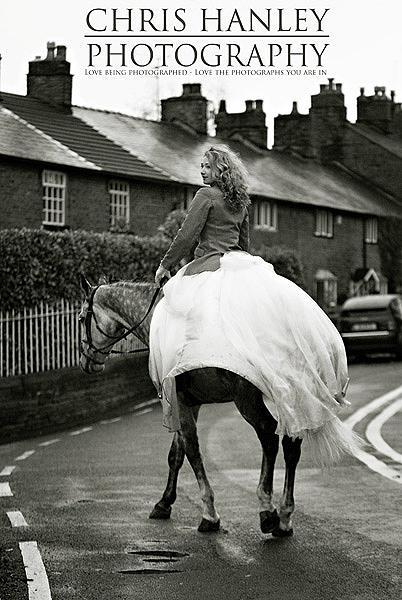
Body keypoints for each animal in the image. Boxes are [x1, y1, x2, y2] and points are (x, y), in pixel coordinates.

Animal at [78, 274, 354, 536]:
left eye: (81, 319)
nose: (86, 362)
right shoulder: (189, 402)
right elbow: (176, 454)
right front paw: (164, 503)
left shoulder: (179, 401)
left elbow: (192, 451)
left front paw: (209, 514)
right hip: (292, 396)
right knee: (291, 444)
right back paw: (285, 517)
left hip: (247, 399)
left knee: (269, 437)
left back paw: (267, 511)